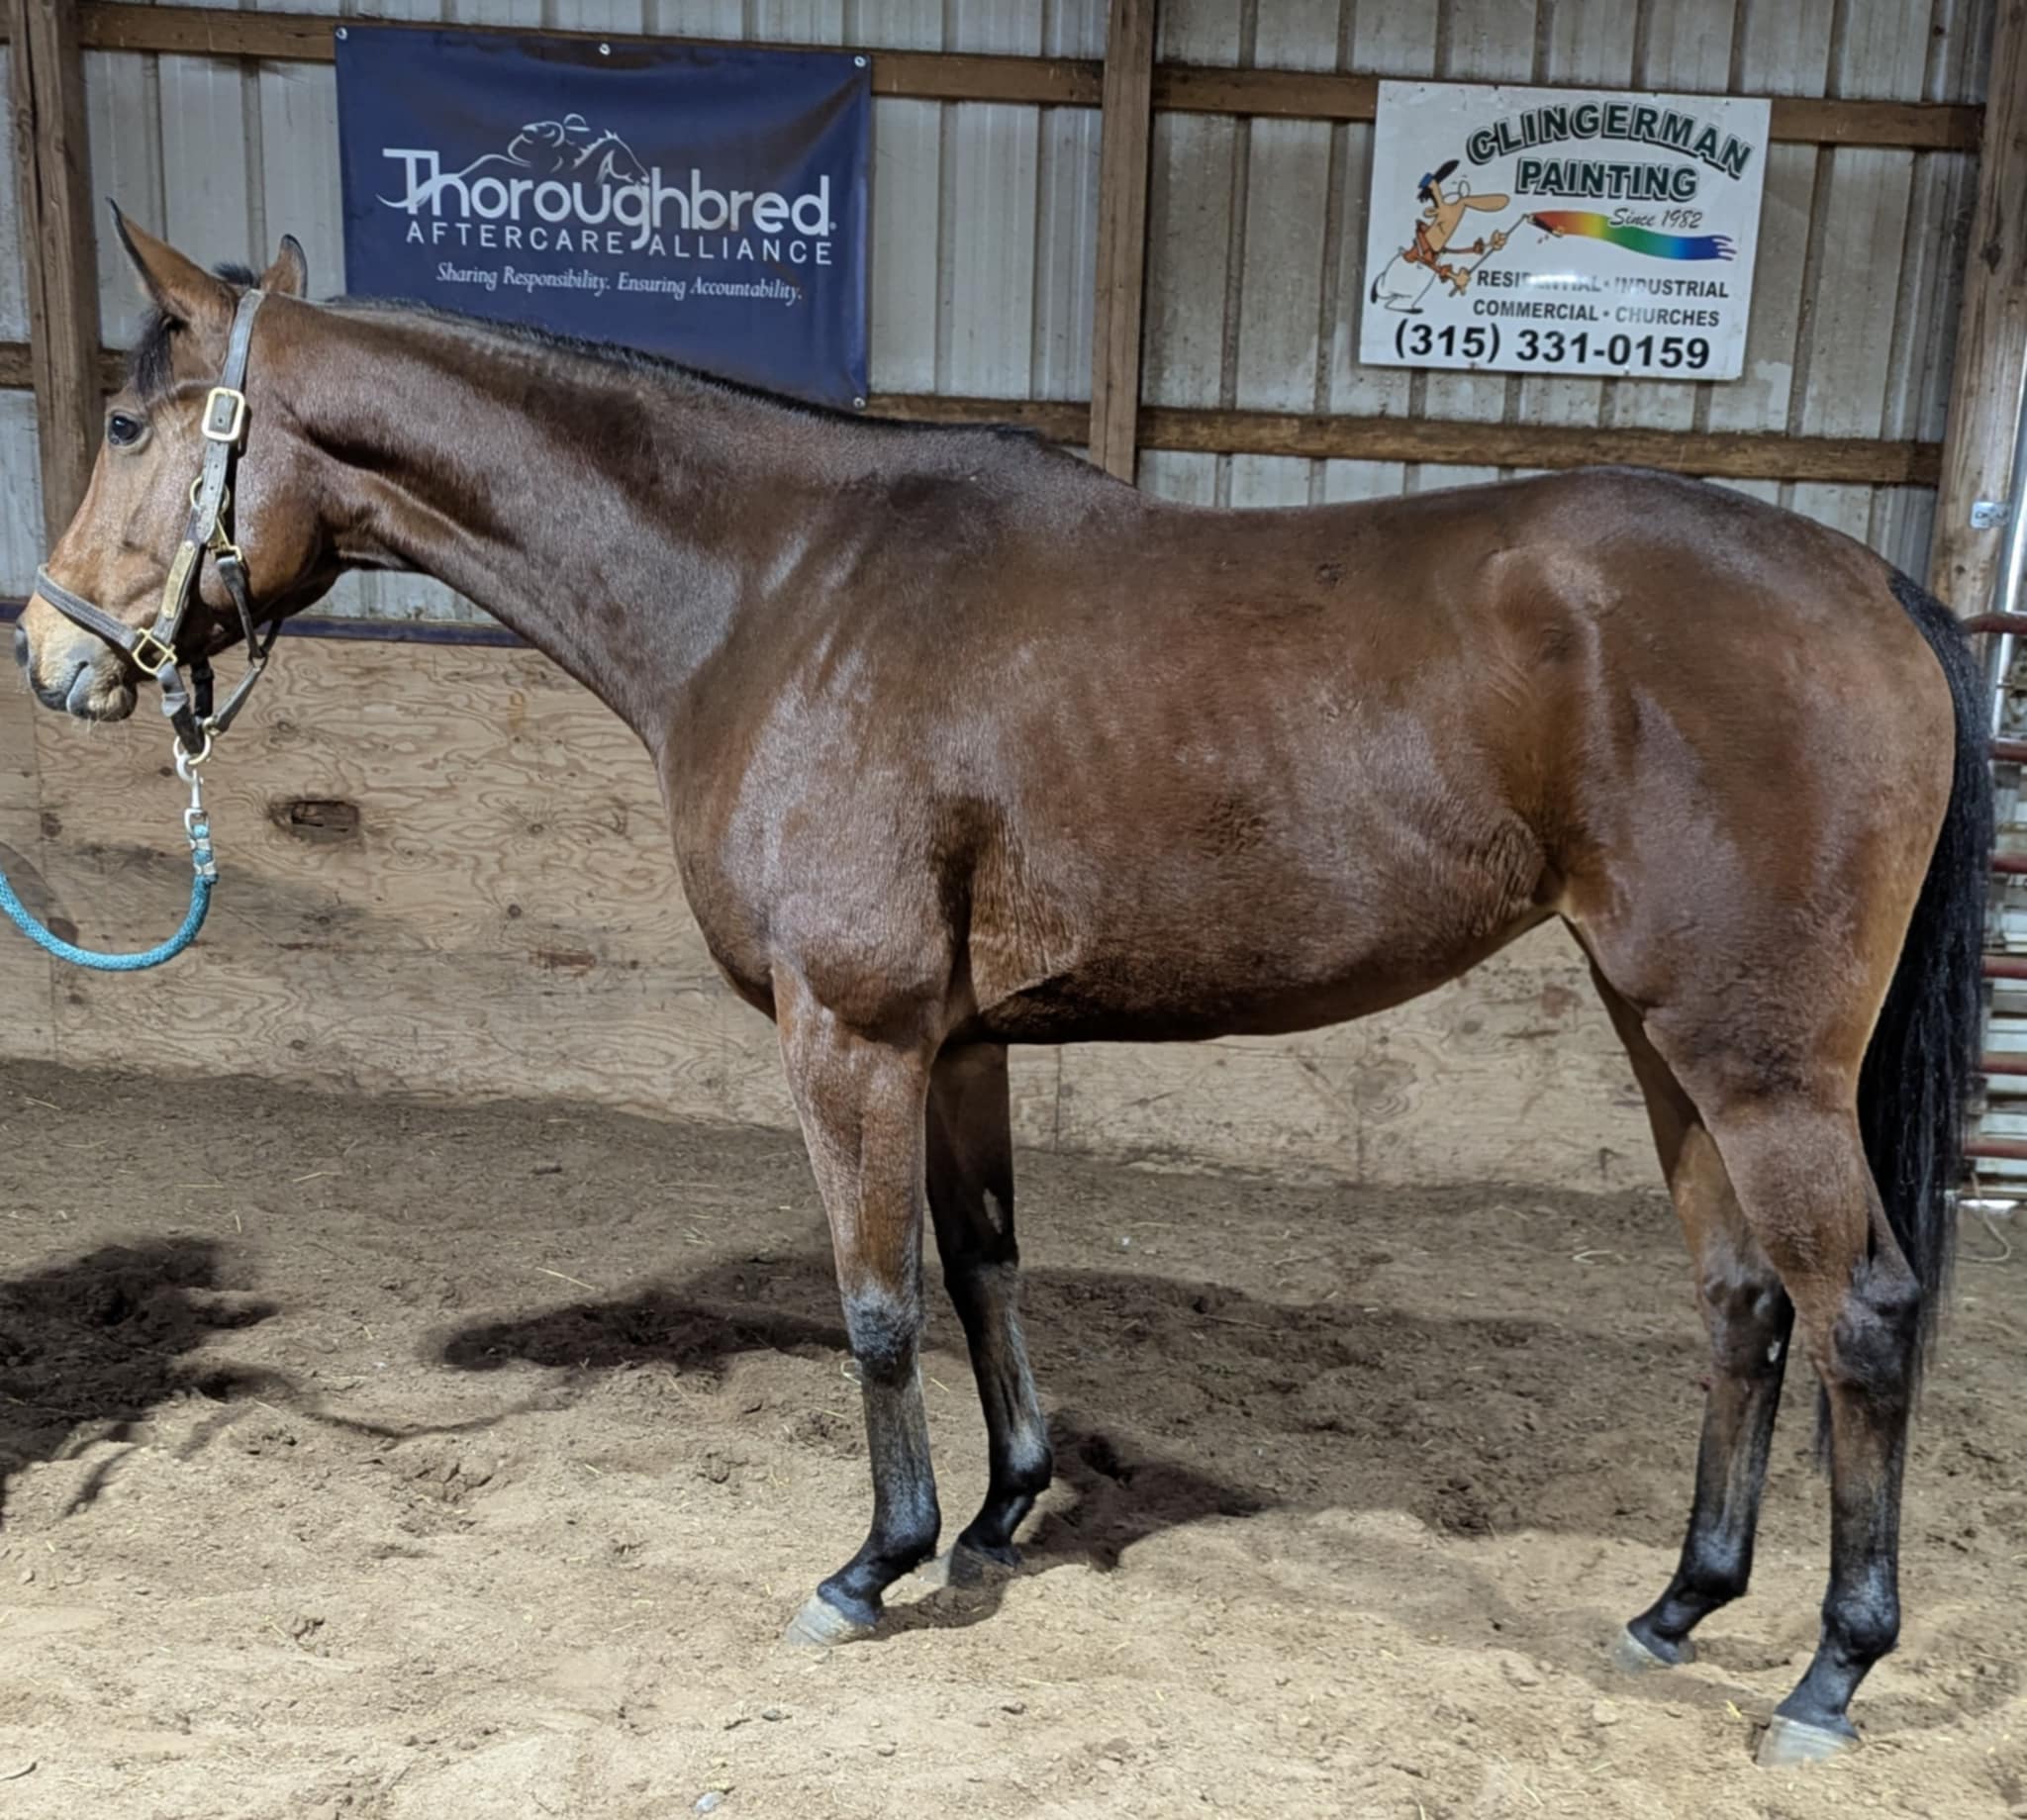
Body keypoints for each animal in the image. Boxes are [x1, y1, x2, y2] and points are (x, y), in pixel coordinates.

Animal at [14, 217, 1991, 1768]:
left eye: (125, 422)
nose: (52, 654)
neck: (778, 587)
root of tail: (1869, 580)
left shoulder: (851, 1032)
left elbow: (878, 1300)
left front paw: (868, 1564)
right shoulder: (955, 1043)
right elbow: (980, 1269)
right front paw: (998, 1510)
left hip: (1756, 1061)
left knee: (1863, 1312)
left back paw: (1826, 1673)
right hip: (1668, 1039)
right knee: (1743, 1302)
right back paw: (1676, 1605)